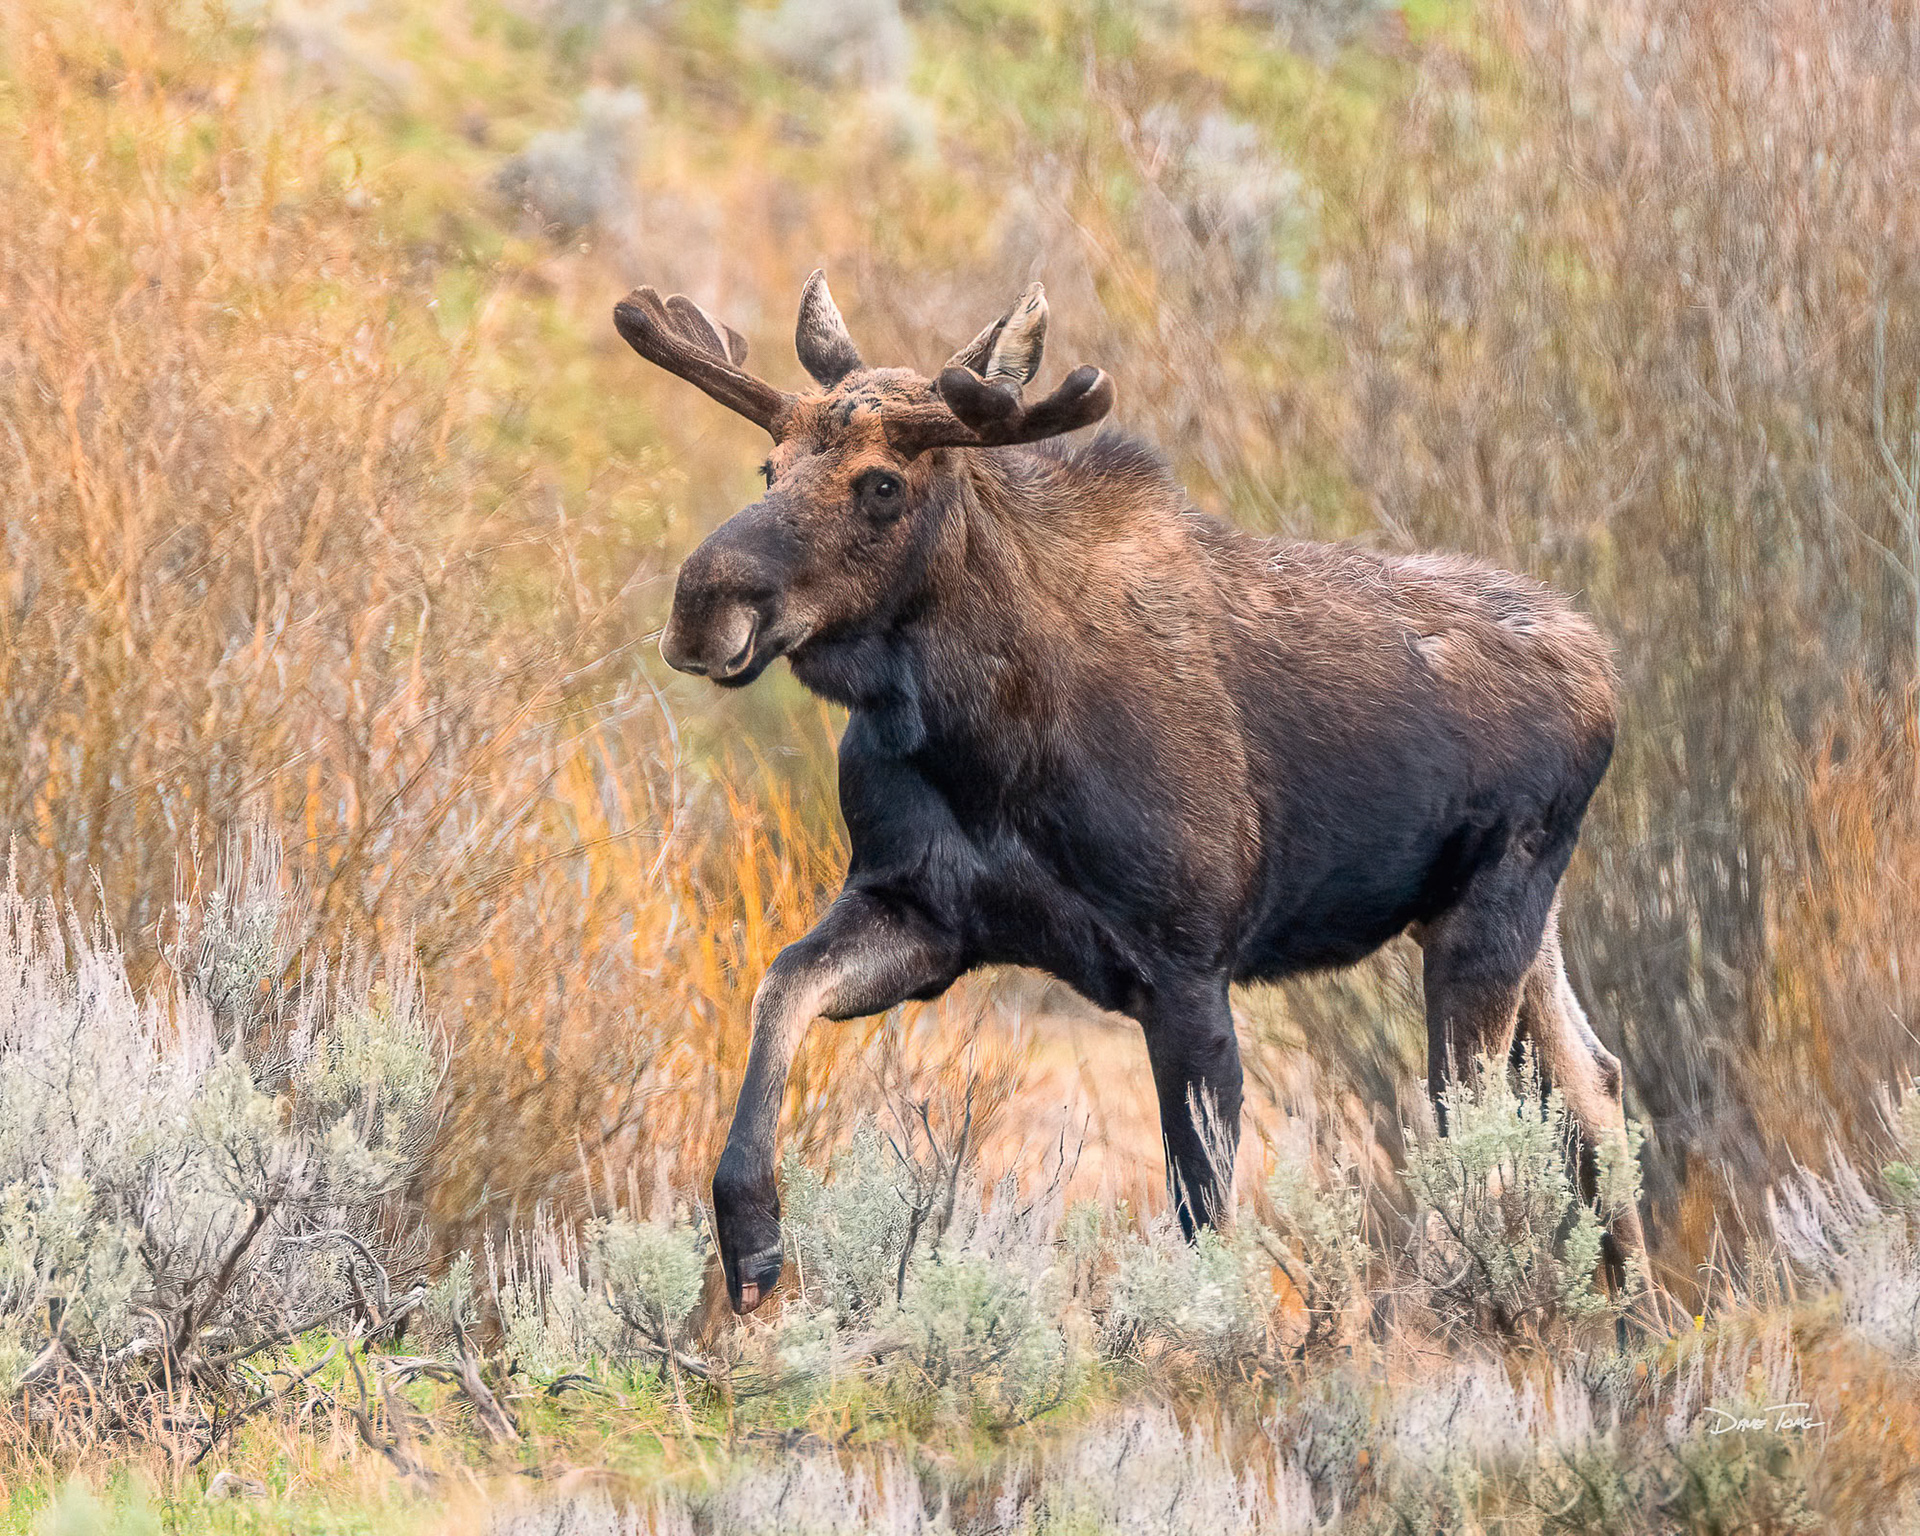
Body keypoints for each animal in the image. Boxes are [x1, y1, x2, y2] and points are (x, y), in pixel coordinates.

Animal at [613, 272, 1647, 1313]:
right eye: (769, 467)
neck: (979, 743)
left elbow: (1206, 1216)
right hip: (1499, 922)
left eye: (882, 484)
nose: (701, 606)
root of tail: (1604, 665)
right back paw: (1636, 1330)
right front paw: (750, 1234)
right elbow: (779, 988)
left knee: (1483, 1142)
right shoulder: (920, 913)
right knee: (1594, 1087)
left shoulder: (1187, 966)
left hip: (1491, 911)